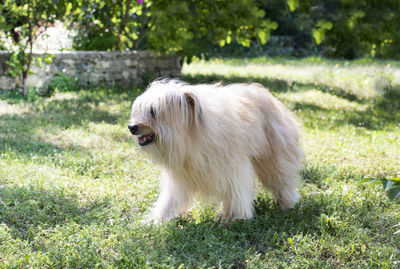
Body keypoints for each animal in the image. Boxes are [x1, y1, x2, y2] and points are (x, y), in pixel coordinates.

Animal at [129, 78, 304, 221]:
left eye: (153, 111)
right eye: (140, 110)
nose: (132, 127)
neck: (191, 136)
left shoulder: (234, 167)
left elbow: (236, 190)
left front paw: (235, 216)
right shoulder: (180, 177)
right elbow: (170, 199)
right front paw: (158, 219)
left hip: (275, 156)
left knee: (281, 179)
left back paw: (288, 203)